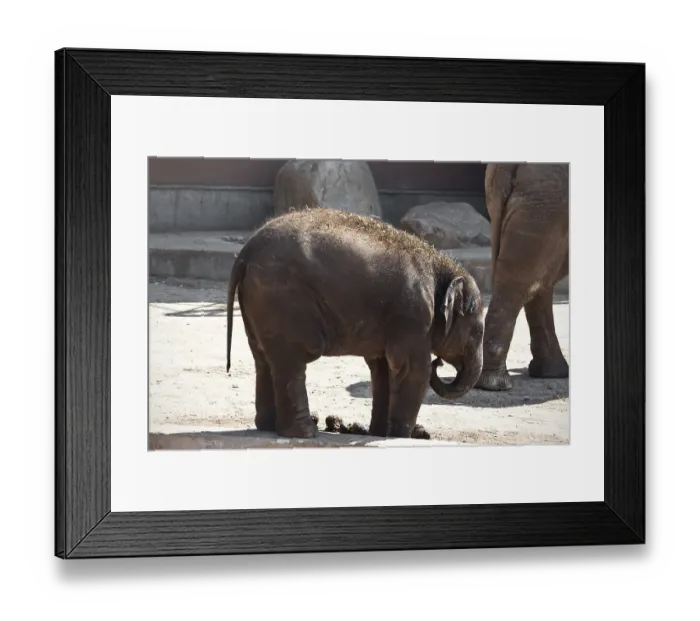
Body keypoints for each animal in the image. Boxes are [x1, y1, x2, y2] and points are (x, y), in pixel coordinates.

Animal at [226, 207, 486, 439]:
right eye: (477, 331)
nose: (439, 362)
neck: (440, 265)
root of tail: (246, 252)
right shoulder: (414, 316)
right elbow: (414, 369)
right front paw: (400, 437)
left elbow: (382, 369)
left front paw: (380, 434)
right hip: (284, 300)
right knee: (293, 359)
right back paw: (305, 433)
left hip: (258, 303)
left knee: (264, 359)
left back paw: (268, 427)